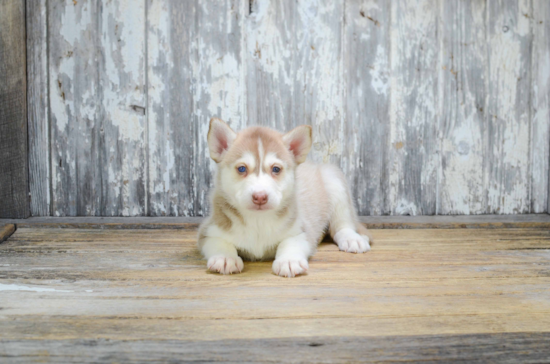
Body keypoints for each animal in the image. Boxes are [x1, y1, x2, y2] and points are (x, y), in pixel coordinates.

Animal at [196, 118, 374, 278]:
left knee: (343, 224)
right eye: (241, 168)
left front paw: (289, 261)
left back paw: (352, 239)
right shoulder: (208, 230)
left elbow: (290, 242)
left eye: (276, 169)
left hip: (335, 184)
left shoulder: (302, 230)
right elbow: (219, 242)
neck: (258, 220)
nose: (260, 197)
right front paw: (225, 258)